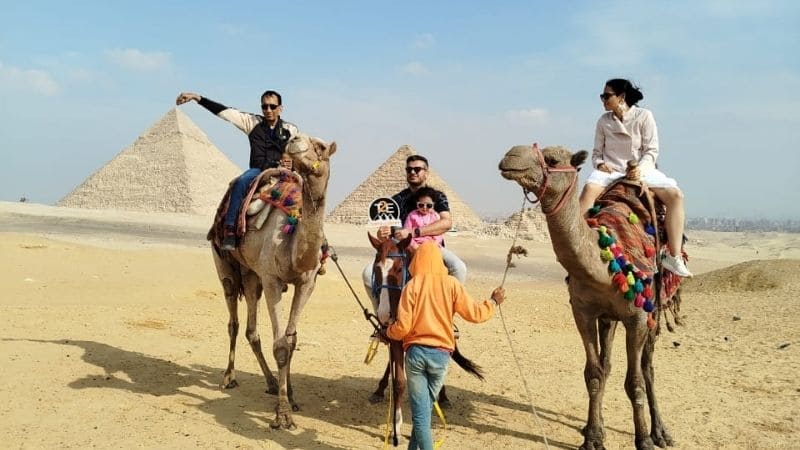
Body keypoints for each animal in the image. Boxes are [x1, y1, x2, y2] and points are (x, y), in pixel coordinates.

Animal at [211, 133, 336, 428]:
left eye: (321, 146)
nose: (294, 138)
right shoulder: (272, 280)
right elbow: (279, 346)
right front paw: (283, 415)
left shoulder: (307, 284)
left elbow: (291, 341)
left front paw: (291, 396)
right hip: (225, 263)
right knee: (234, 321)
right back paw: (229, 377)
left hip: (251, 275)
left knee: (251, 329)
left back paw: (269, 382)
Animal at [500, 144, 676, 450]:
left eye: (552, 160)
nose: (510, 155)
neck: (606, 265)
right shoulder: (583, 311)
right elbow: (593, 373)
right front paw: (593, 436)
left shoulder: (637, 317)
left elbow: (635, 381)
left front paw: (643, 439)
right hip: (608, 318)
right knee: (607, 364)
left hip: (654, 307)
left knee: (648, 367)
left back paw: (660, 433)